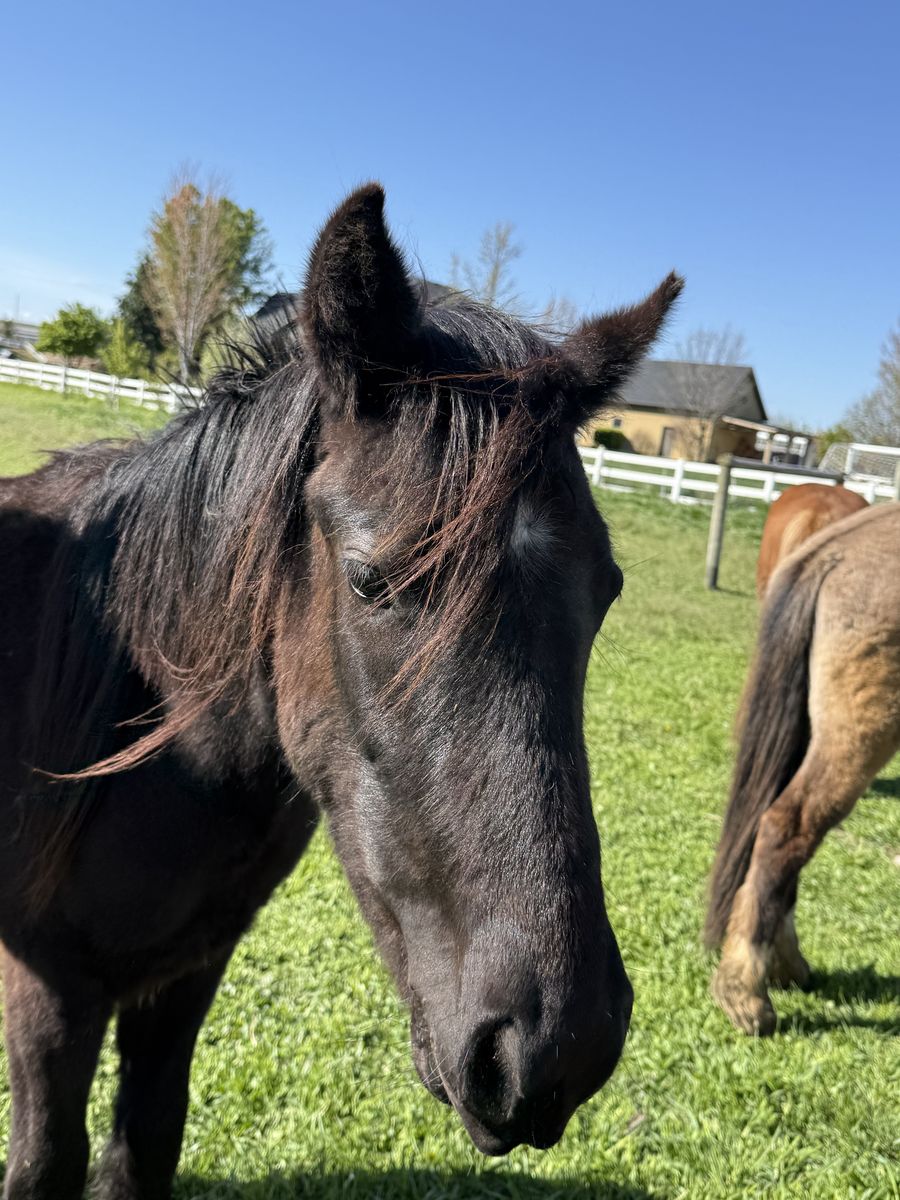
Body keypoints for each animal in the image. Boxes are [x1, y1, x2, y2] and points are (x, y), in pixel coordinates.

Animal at [0, 184, 683, 1198]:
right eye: (370, 580)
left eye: (608, 591)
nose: (557, 1046)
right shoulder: (48, 984)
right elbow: (47, 1161)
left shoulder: (185, 974)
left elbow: (143, 1144)